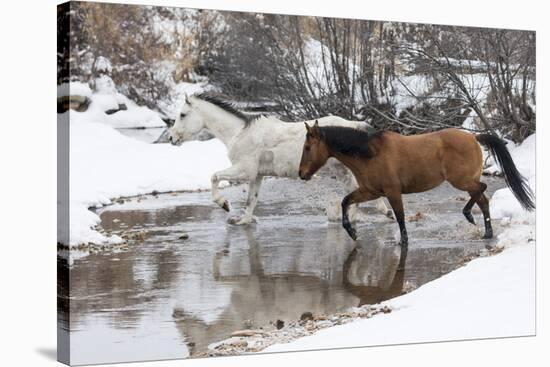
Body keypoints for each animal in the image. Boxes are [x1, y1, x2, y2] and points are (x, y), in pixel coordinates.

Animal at [168, 93, 392, 226]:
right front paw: (243, 220)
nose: (171, 138)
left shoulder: (244, 170)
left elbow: (214, 177)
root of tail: (356, 125)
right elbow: (251, 200)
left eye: (183, 114)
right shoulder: (257, 176)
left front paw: (224, 205)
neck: (239, 133)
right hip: (342, 170)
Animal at [300, 122, 536, 249]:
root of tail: (474, 137)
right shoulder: (370, 191)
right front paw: (352, 233)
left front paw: (403, 242)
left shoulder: (392, 192)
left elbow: (400, 217)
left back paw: (469, 216)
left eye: (308, 147)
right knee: (483, 200)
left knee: (482, 190)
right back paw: (486, 232)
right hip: (466, 181)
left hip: (461, 180)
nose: (301, 174)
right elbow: (345, 201)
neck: (370, 153)